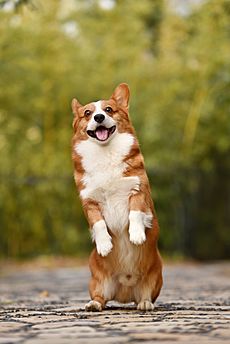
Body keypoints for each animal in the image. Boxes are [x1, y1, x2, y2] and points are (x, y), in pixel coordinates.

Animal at [71, 83, 163, 312]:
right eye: (88, 113)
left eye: (109, 109)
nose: (99, 117)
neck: (105, 153)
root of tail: (125, 292)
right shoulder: (89, 202)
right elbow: (98, 224)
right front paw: (104, 245)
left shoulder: (138, 191)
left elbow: (135, 213)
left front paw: (137, 235)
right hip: (97, 280)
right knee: (101, 298)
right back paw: (94, 304)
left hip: (155, 277)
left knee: (145, 295)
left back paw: (145, 303)